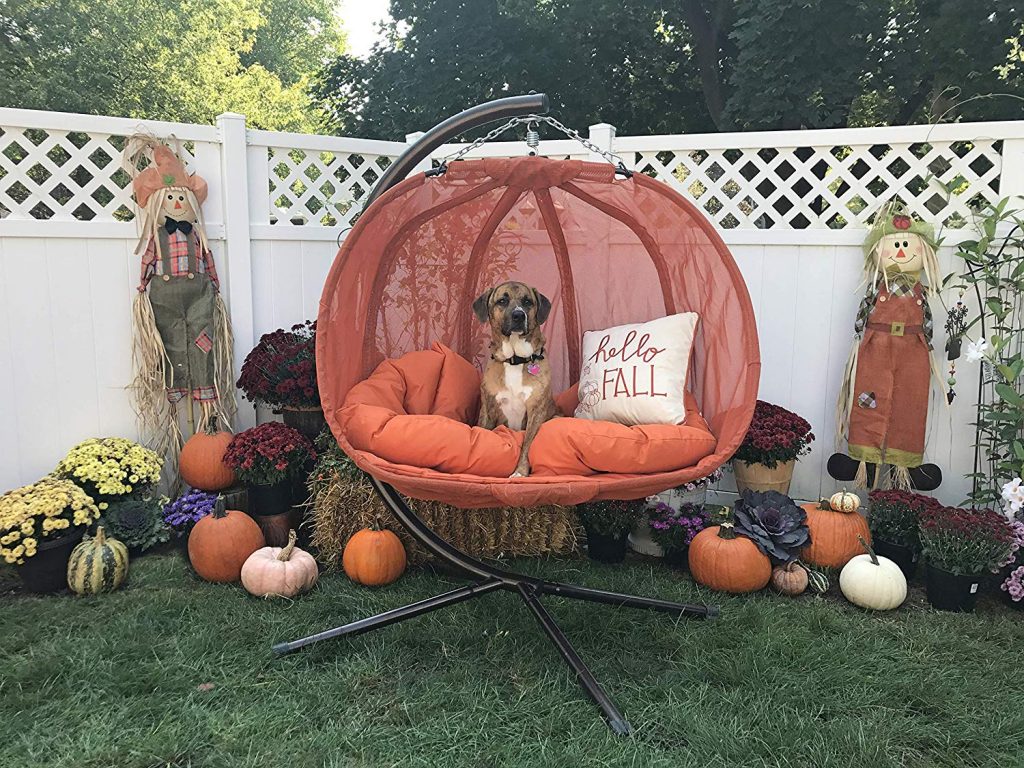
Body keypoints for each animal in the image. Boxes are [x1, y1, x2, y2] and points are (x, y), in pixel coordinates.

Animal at [473, 280, 557, 479]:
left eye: (527, 302)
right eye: (502, 301)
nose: (519, 315)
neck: (515, 360)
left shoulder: (536, 411)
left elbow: (527, 444)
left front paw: (520, 471)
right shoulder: (488, 408)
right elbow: (483, 433)